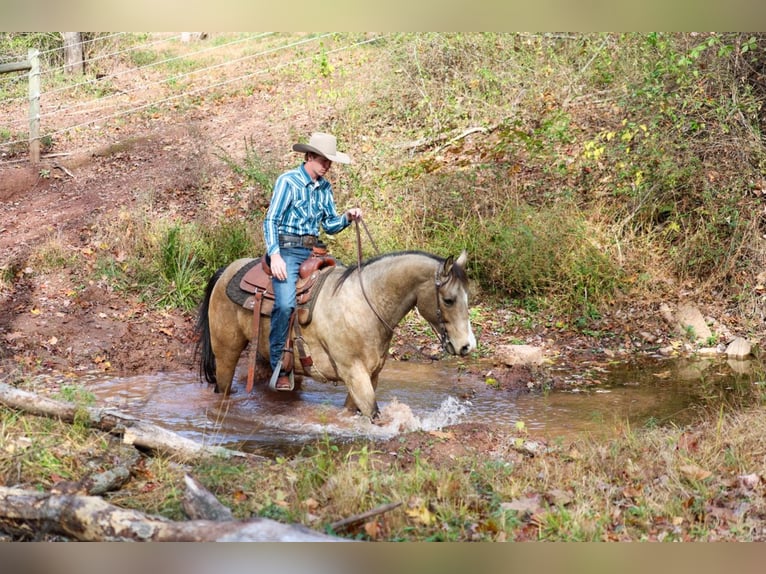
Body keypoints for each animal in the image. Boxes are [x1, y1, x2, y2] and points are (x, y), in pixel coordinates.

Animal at [195, 250, 476, 420]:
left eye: (467, 297)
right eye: (449, 300)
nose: (467, 346)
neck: (364, 304)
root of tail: (227, 270)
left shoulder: (370, 377)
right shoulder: (355, 375)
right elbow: (374, 414)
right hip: (226, 355)